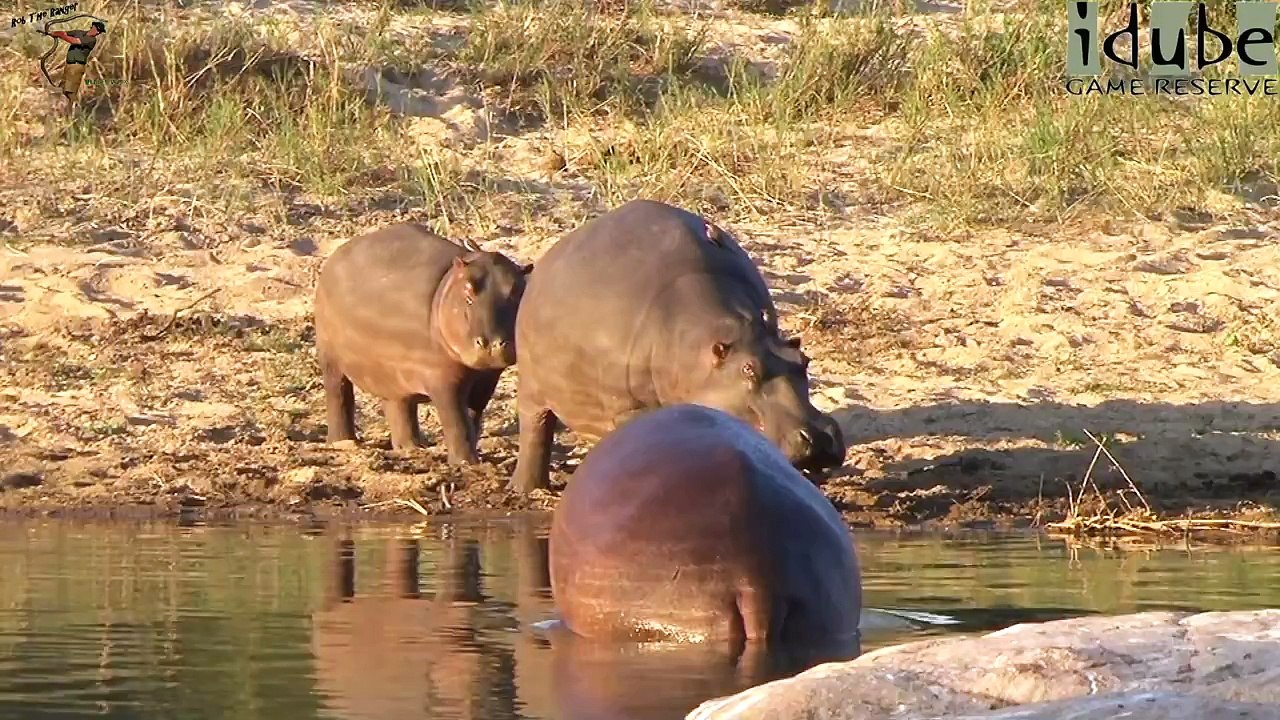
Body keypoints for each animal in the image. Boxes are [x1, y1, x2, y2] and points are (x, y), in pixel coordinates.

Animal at [313, 223, 531, 463]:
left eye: (516, 293)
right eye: (468, 293)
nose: (492, 344)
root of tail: (334, 257)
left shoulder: (487, 378)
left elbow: (472, 416)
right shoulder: (442, 378)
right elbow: (456, 420)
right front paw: (465, 463)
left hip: (390, 372)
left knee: (398, 406)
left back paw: (411, 448)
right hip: (330, 359)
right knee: (339, 394)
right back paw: (343, 443)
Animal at [510, 198, 846, 492]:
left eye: (804, 361)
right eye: (748, 369)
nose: (818, 437)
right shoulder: (630, 408)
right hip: (532, 387)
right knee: (535, 432)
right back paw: (526, 490)